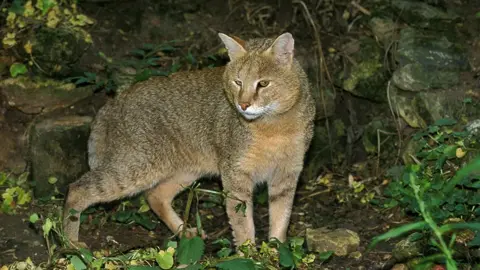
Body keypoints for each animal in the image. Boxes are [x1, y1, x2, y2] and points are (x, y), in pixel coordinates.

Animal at [63, 32, 316, 250]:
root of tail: (112, 103)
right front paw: (249, 254)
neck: (275, 127)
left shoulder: (287, 174)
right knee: (77, 189)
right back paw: (70, 243)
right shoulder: (236, 175)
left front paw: (276, 250)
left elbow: (281, 217)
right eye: (238, 82)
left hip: (185, 170)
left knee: (155, 195)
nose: (243, 105)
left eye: (263, 84)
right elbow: (243, 223)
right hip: (135, 168)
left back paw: (183, 231)